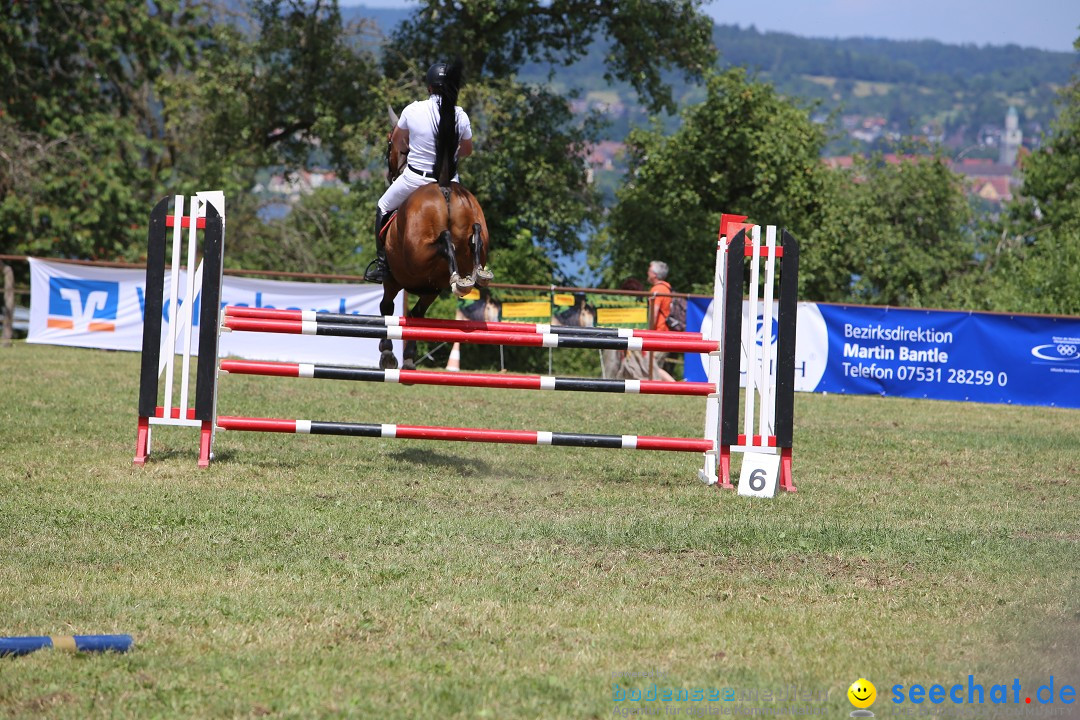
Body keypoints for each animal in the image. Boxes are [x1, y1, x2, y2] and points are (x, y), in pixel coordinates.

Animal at [375, 107, 494, 371]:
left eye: (389, 143)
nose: (389, 175)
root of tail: (443, 187)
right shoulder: (431, 289)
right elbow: (416, 316)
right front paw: (408, 357)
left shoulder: (393, 280)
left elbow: (387, 309)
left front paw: (388, 354)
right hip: (473, 216)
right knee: (475, 234)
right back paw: (475, 273)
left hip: (418, 255)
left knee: (445, 241)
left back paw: (461, 276)